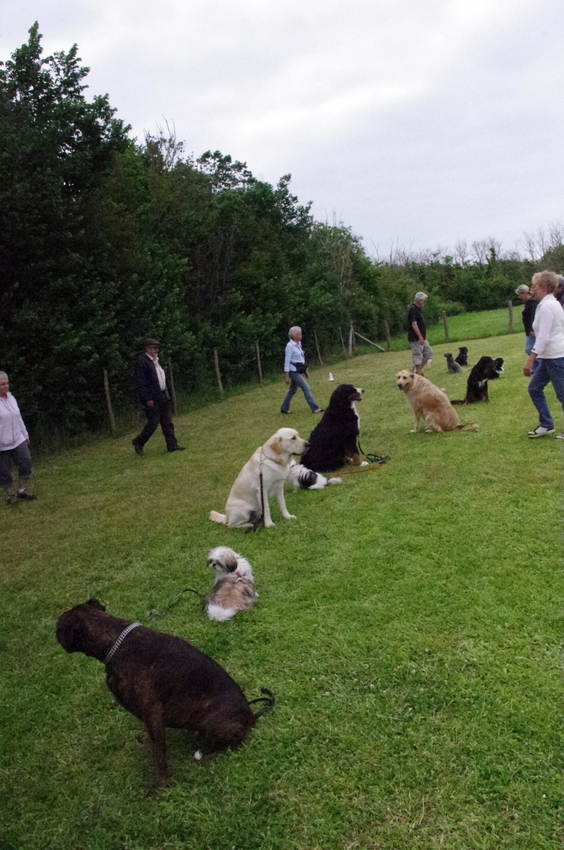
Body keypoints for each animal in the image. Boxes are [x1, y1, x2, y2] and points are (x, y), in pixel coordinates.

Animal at [56, 600, 274, 792]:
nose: (55, 630)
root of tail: (251, 717)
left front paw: (159, 787)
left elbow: (159, 756)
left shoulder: (152, 711)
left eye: (60, 625)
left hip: (212, 725)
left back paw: (203, 754)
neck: (115, 640)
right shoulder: (150, 716)